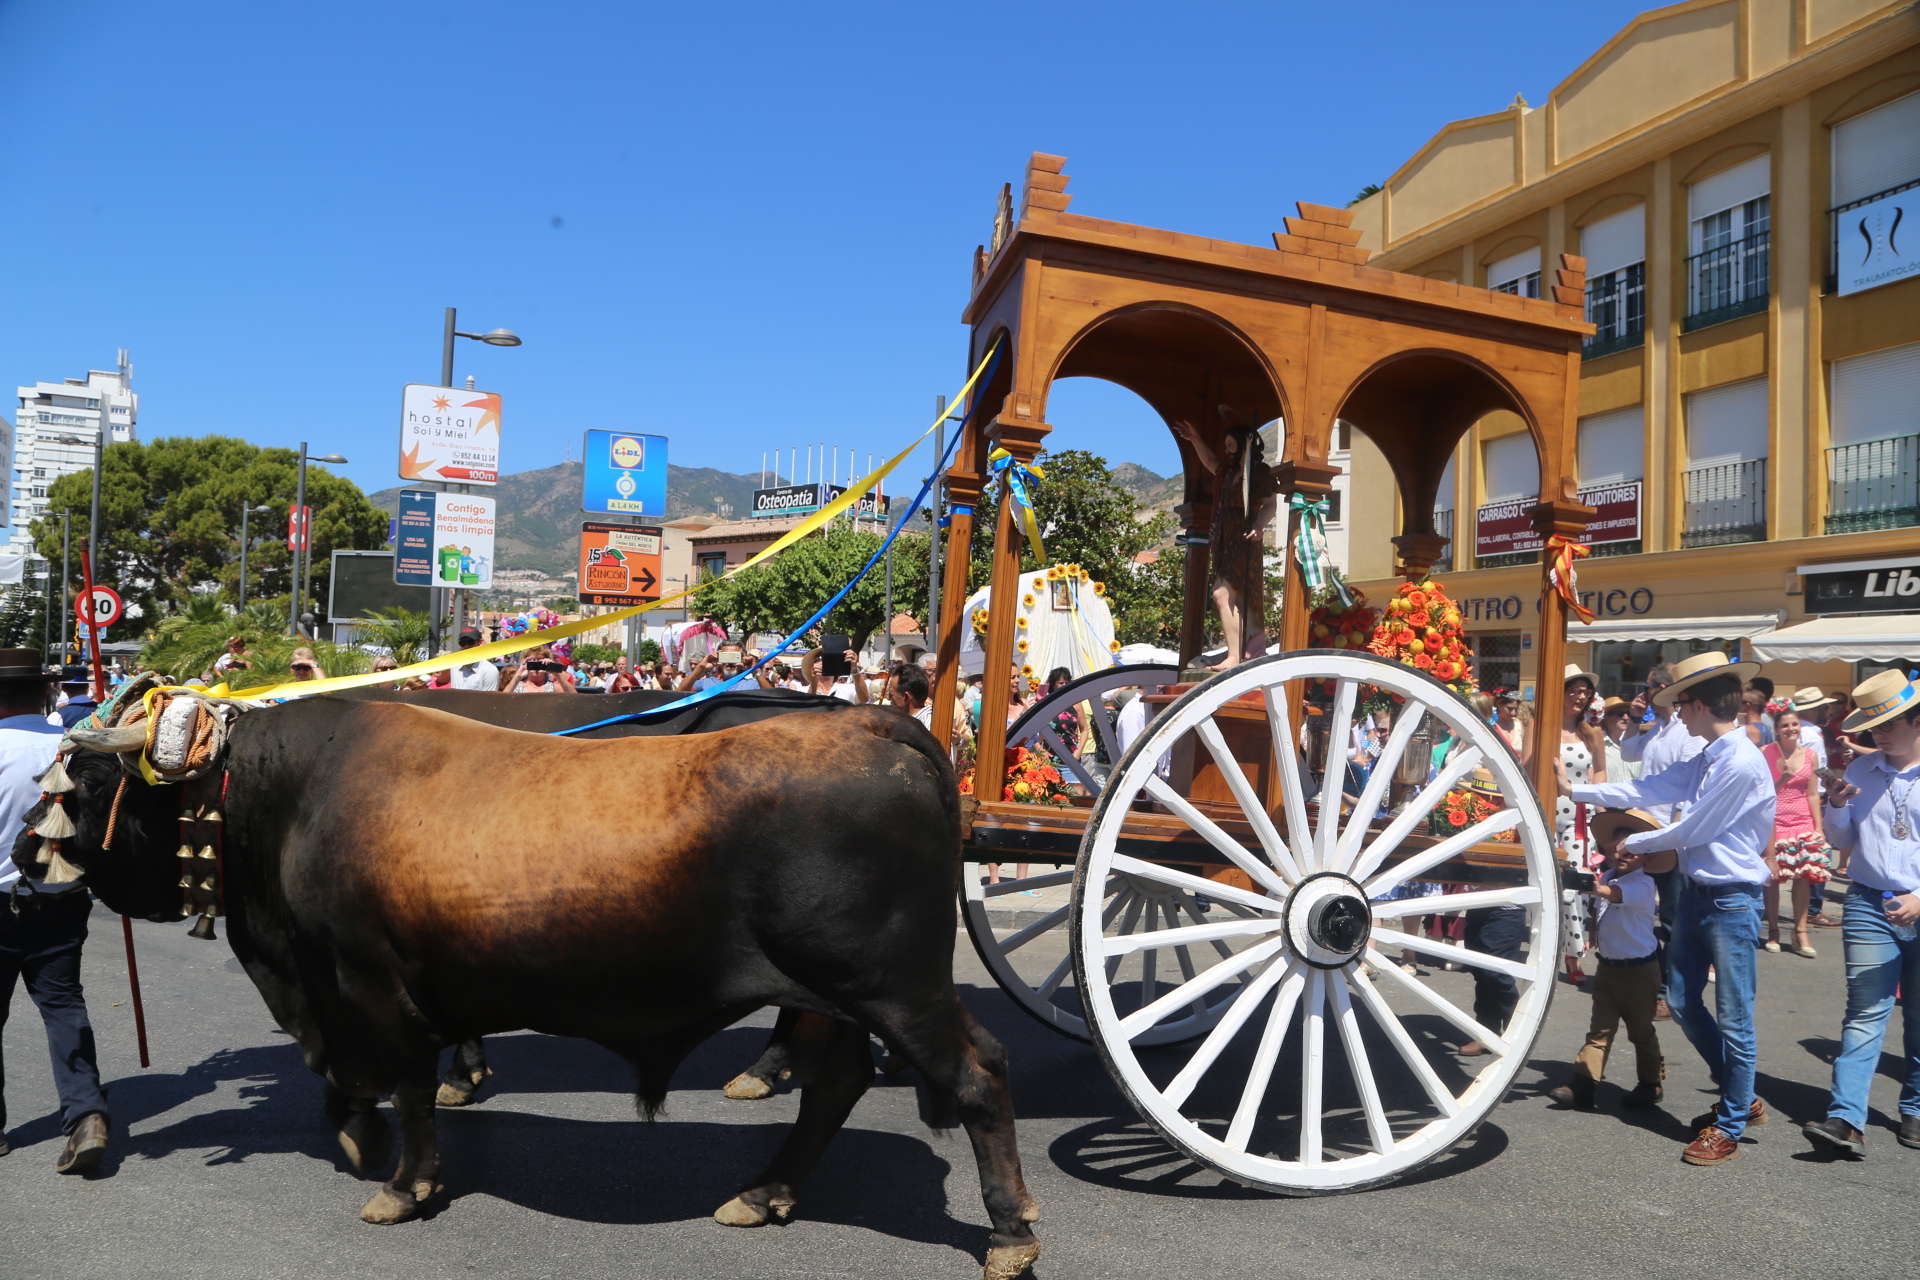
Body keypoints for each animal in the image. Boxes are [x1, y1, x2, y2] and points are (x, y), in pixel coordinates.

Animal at [37, 702, 1044, 1280]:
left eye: (83, 784)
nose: (23, 851)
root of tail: (877, 725)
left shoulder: (370, 980)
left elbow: (409, 1085)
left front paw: (403, 1182)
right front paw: (364, 1136)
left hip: (894, 987)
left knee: (981, 1073)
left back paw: (1008, 1232)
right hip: (833, 998)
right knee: (834, 1086)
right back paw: (763, 1193)